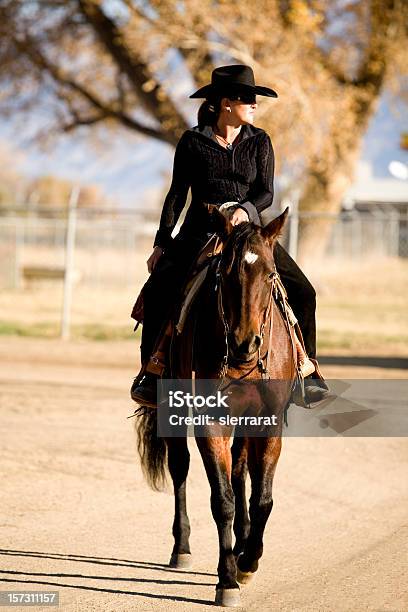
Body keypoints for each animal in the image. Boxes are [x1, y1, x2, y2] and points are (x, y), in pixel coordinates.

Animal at [135, 209, 294, 608]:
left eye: (270, 274)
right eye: (227, 273)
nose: (244, 342)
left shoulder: (268, 422)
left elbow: (262, 499)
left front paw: (248, 561)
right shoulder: (210, 422)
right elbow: (222, 500)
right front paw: (228, 580)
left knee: (240, 471)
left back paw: (241, 544)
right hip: (171, 406)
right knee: (180, 466)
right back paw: (182, 548)